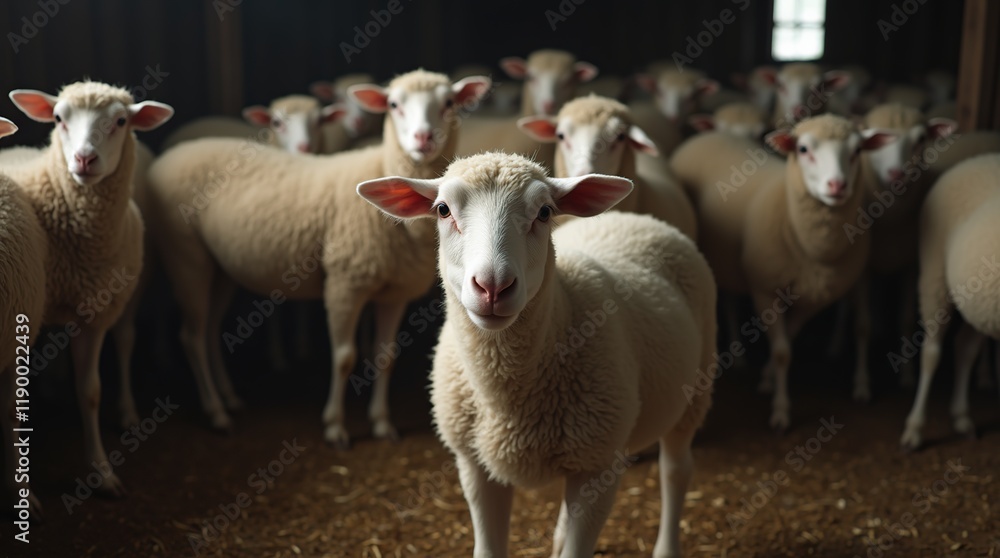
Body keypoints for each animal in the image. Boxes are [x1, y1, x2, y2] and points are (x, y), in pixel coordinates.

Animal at [5, 81, 174, 495]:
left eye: (121, 121)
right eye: (58, 118)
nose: (84, 159)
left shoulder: (94, 313)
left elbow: (91, 393)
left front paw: (101, 472)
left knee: (126, 339)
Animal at [145, 70, 491, 447]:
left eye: (449, 103)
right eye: (393, 105)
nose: (423, 137)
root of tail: (170, 155)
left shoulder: (395, 291)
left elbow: (385, 357)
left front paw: (382, 423)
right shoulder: (344, 282)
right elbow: (343, 357)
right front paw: (335, 426)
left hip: (217, 266)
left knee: (208, 329)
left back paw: (228, 397)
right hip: (185, 255)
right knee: (191, 337)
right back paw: (216, 412)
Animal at [356, 151, 716, 558]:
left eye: (544, 212)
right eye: (443, 210)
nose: (493, 287)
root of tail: (637, 218)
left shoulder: (599, 465)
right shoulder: (477, 466)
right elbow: (489, 549)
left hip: (694, 391)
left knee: (675, 470)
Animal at [671, 116, 895, 430]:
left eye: (857, 150)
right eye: (803, 149)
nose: (837, 184)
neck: (811, 245)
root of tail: (707, 135)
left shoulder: (814, 294)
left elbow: (789, 337)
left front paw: (767, 379)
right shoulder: (764, 289)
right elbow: (781, 352)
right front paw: (780, 411)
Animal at [900, 153, 1000, 451]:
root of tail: (975, 160)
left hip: (981, 305)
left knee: (965, 347)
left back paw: (961, 417)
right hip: (934, 277)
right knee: (932, 352)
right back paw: (914, 429)